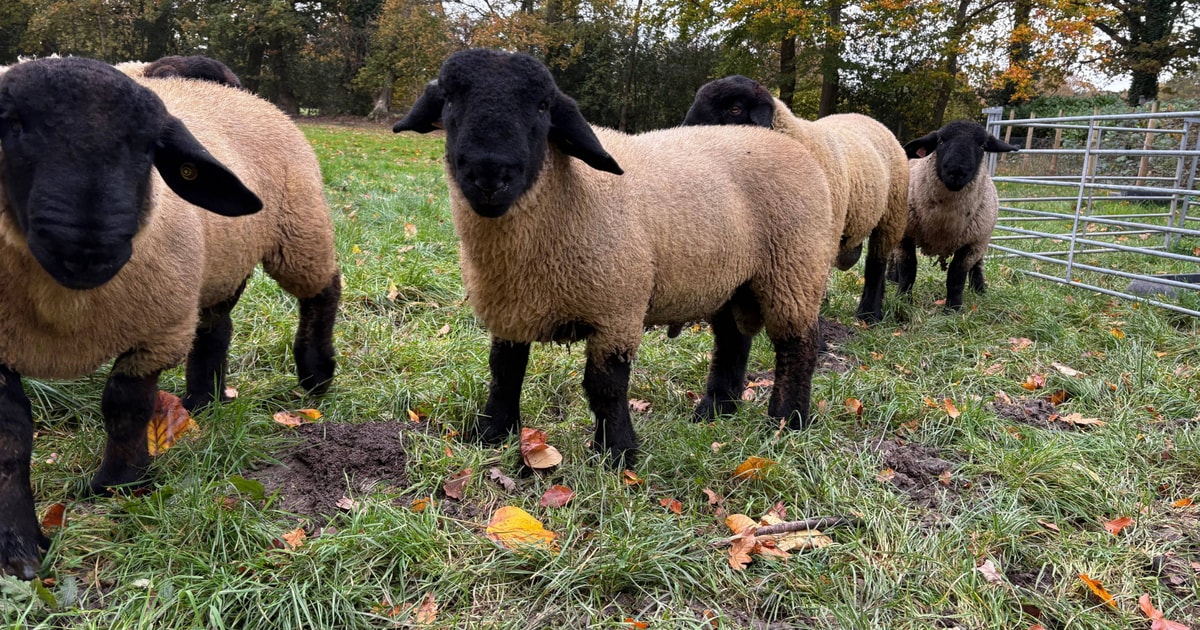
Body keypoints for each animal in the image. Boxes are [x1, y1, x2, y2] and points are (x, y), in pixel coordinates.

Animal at [0, 57, 340, 579]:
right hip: (220, 261)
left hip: (299, 227)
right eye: (11, 125)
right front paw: (20, 552)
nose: (88, 247)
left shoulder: (156, 331)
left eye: (149, 150)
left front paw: (118, 484)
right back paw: (203, 399)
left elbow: (125, 406)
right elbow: (11, 439)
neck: (64, 305)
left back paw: (316, 373)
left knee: (322, 291)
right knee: (216, 328)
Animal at [393, 49, 838, 467]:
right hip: (734, 278)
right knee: (731, 340)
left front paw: (618, 452)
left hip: (794, 267)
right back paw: (714, 412)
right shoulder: (511, 309)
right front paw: (491, 434)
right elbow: (504, 373)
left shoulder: (617, 310)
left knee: (796, 346)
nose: (489, 175)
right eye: (450, 99)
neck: (570, 192)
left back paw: (787, 421)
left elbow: (605, 385)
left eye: (542, 106)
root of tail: (788, 142)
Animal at [890, 120, 1019, 310]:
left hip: (982, 238)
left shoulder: (972, 243)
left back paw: (979, 289)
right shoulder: (906, 235)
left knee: (978, 263)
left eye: (982, 145)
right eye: (941, 141)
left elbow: (956, 275)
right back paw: (891, 278)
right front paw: (903, 299)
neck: (944, 223)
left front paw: (953, 309)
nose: (956, 172)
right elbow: (908, 269)